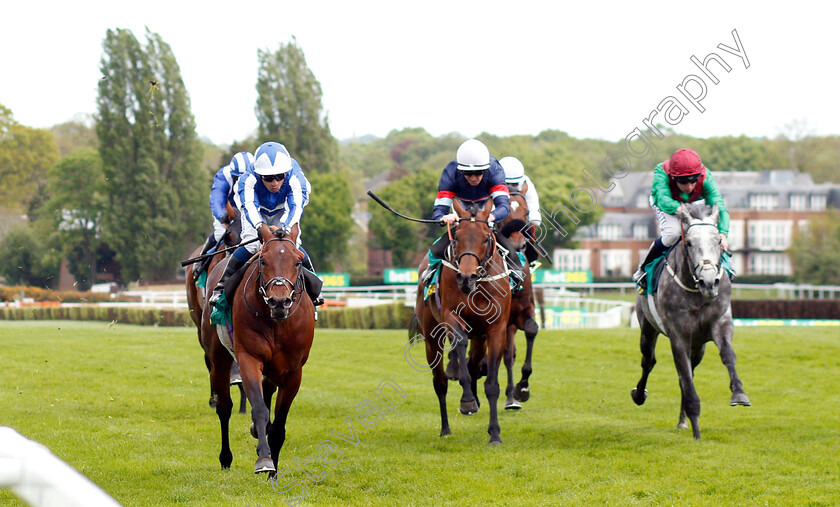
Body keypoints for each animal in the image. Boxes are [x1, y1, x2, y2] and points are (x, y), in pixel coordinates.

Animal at [203, 224, 316, 474]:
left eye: (298, 261)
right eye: (263, 261)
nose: (279, 301)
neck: (276, 322)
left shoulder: (293, 371)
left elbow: (278, 426)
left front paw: (273, 473)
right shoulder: (249, 357)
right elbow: (260, 409)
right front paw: (264, 459)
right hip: (219, 357)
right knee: (224, 407)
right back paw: (226, 458)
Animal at [414, 198, 512, 444]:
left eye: (486, 237)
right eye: (457, 236)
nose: (467, 278)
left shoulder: (496, 330)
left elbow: (492, 385)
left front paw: (494, 434)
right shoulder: (451, 317)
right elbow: (459, 344)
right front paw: (467, 401)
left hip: (479, 338)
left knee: (474, 364)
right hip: (432, 337)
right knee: (439, 382)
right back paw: (446, 428)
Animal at [632, 202, 748, 440]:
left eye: (718, 242)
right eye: (690, 243)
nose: (709, 281)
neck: (697, 294)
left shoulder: (720, 323)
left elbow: (728, 355)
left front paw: (739, 393)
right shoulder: (678, 336)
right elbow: (683, 376)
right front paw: (696, 431)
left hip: (698, 346)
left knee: (686, 375)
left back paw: (682, 421)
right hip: (647, 327)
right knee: (649, 361)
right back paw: (639, 394)